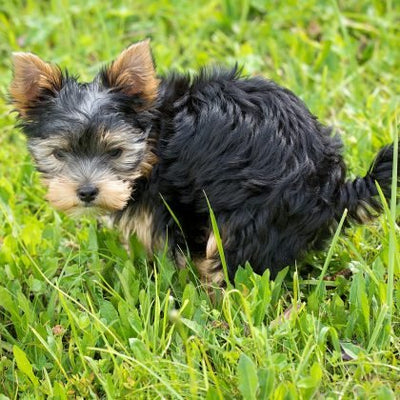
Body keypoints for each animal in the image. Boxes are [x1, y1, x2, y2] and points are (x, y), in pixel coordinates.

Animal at [10, 39, 398, 284]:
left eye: (115, 152)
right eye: (60, 154)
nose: (87, 192)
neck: (155, 137)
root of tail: (334, 189)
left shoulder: (170, 204)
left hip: (255, 215)